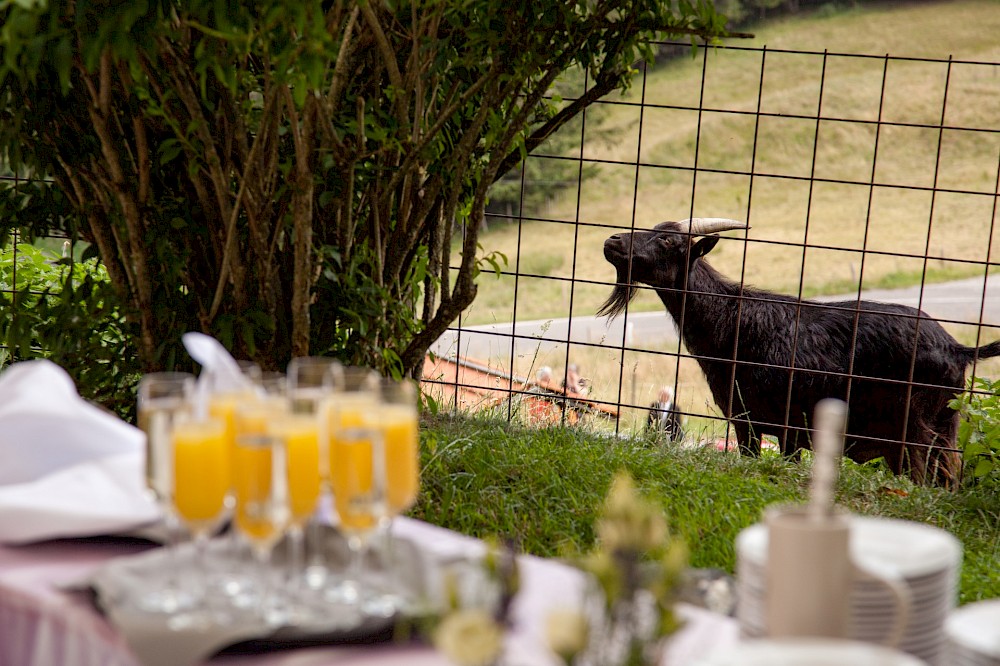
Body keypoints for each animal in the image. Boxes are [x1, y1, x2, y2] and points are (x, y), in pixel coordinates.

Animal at [600, 218, 1000, 482]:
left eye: (668, 239)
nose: (613, 241)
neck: (732, 321)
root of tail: (958, 348)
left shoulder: (774, 423)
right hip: (944, 424)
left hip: (913, 428)